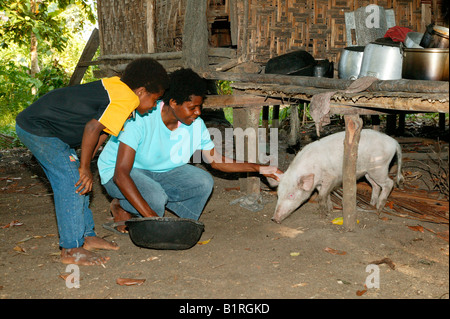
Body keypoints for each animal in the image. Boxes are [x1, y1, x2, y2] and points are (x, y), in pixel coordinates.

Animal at [270, 129, 404, 224]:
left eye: (291, 195)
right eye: (278, 194)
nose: (274, 219)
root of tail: (394, 142)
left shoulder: (330, 177)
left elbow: (322, 196)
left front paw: (323, 215)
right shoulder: (319, 182)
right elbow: (325, 194)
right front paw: (330, 209)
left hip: (379, 167)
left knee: (389, 183)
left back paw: (379, 208)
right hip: (369, 172)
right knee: (376, 186)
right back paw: (372, 204)